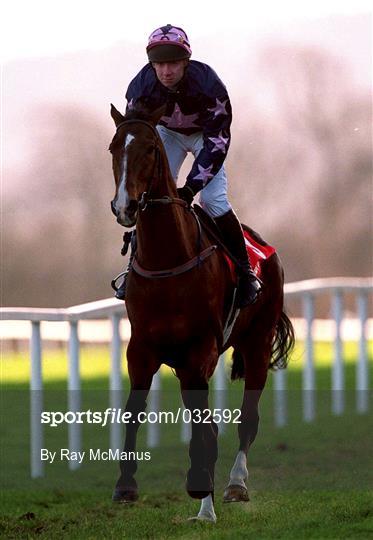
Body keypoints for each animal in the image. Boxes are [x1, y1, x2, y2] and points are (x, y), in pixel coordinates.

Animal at [107, 103, 294, 520]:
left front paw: (200, 485)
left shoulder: (200, 348)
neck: (167, 259)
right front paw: (125, 484)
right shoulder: (142, 348)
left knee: (248, 419)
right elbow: (134, 410)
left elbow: (204, 422)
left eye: (149, 150)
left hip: (256, 344)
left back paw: (234, 485)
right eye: (113, 148)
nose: (125, 206)